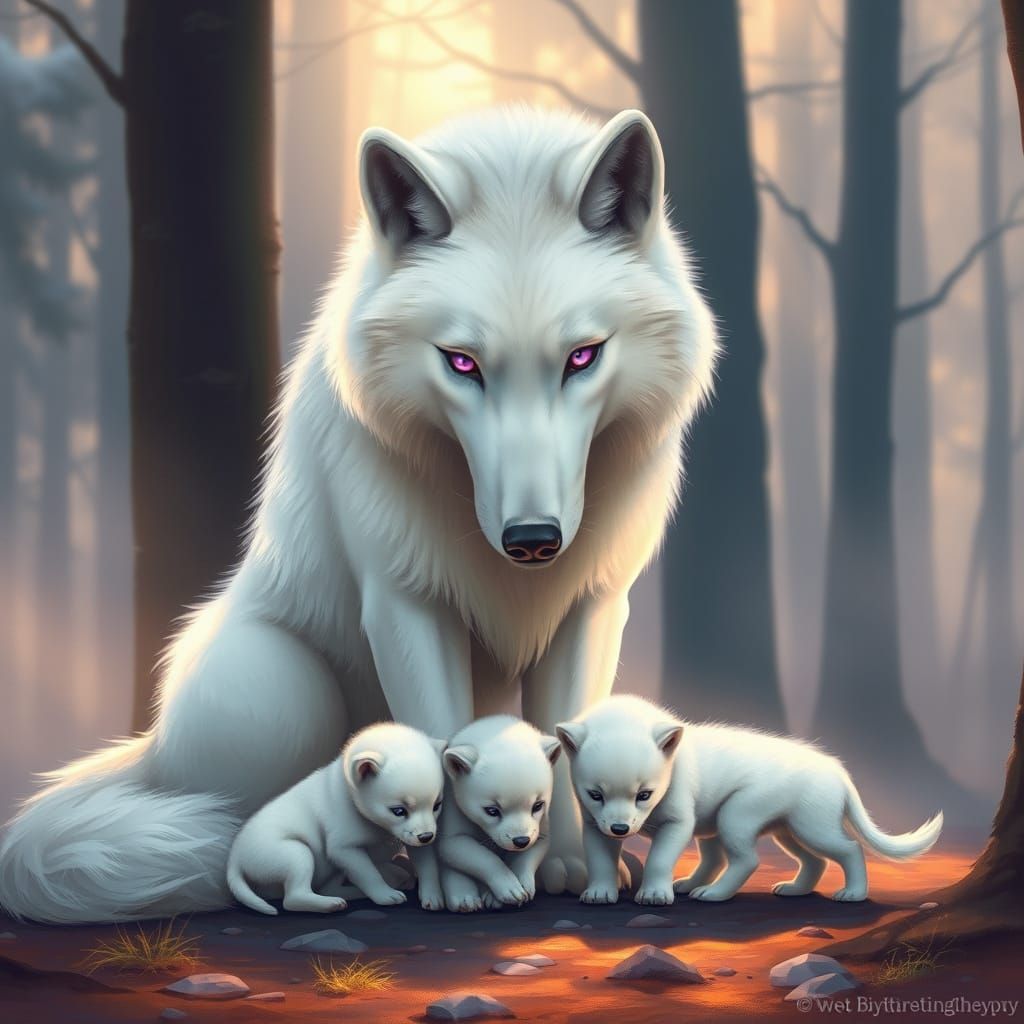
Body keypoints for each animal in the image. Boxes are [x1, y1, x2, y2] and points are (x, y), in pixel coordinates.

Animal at [227, 723, 445, 915]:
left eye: (436, 806)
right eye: (398, 811)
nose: (427, 836)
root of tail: (234, 859)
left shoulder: (415, 839)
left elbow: (427, 866)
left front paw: (433, 895)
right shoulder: (344, 849)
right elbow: (368, 873)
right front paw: (385, 895)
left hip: (327, 868)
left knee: (327, 888)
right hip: (294, 853)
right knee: (293, 898)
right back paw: (329, 904)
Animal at [437, 715, 559, 912]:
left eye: (537, 805)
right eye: (492, 811)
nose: (521, 840)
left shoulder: (542, 823)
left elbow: (537, 846)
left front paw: (522, 883)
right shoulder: (453, 809)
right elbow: (460, 848)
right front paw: (509, 887)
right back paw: (465, 898)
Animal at [558, 695, 944, 905]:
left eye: (644, 795)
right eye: (595, 794)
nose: (621, 829)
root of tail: (839, 771)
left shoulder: (678, 823)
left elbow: (658, 861)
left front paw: (654, 895)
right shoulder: (594, 823)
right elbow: (601, 861)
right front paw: (599, 894)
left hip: (749, 817)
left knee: (838, 850)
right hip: (785, 830)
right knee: (811, 861)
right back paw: (790, 890)